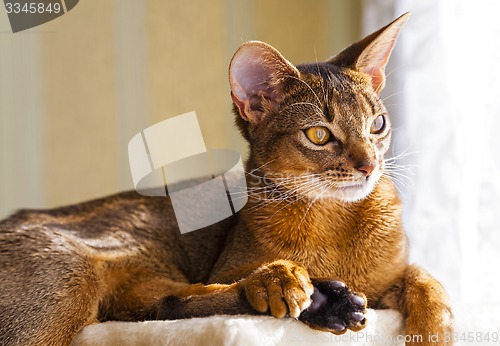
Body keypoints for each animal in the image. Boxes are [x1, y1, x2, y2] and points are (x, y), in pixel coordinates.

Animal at [0, 12, 454, 344]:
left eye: (377, 124)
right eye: (319, 135)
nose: (369, 166)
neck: (338, 224)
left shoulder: (391, 280)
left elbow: (427, 279)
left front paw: (434, 330)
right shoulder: (225, 264)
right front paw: (283, 279)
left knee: (163, 304)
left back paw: (324, 299)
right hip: (69, 282)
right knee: (166, 305)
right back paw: (303, 292)